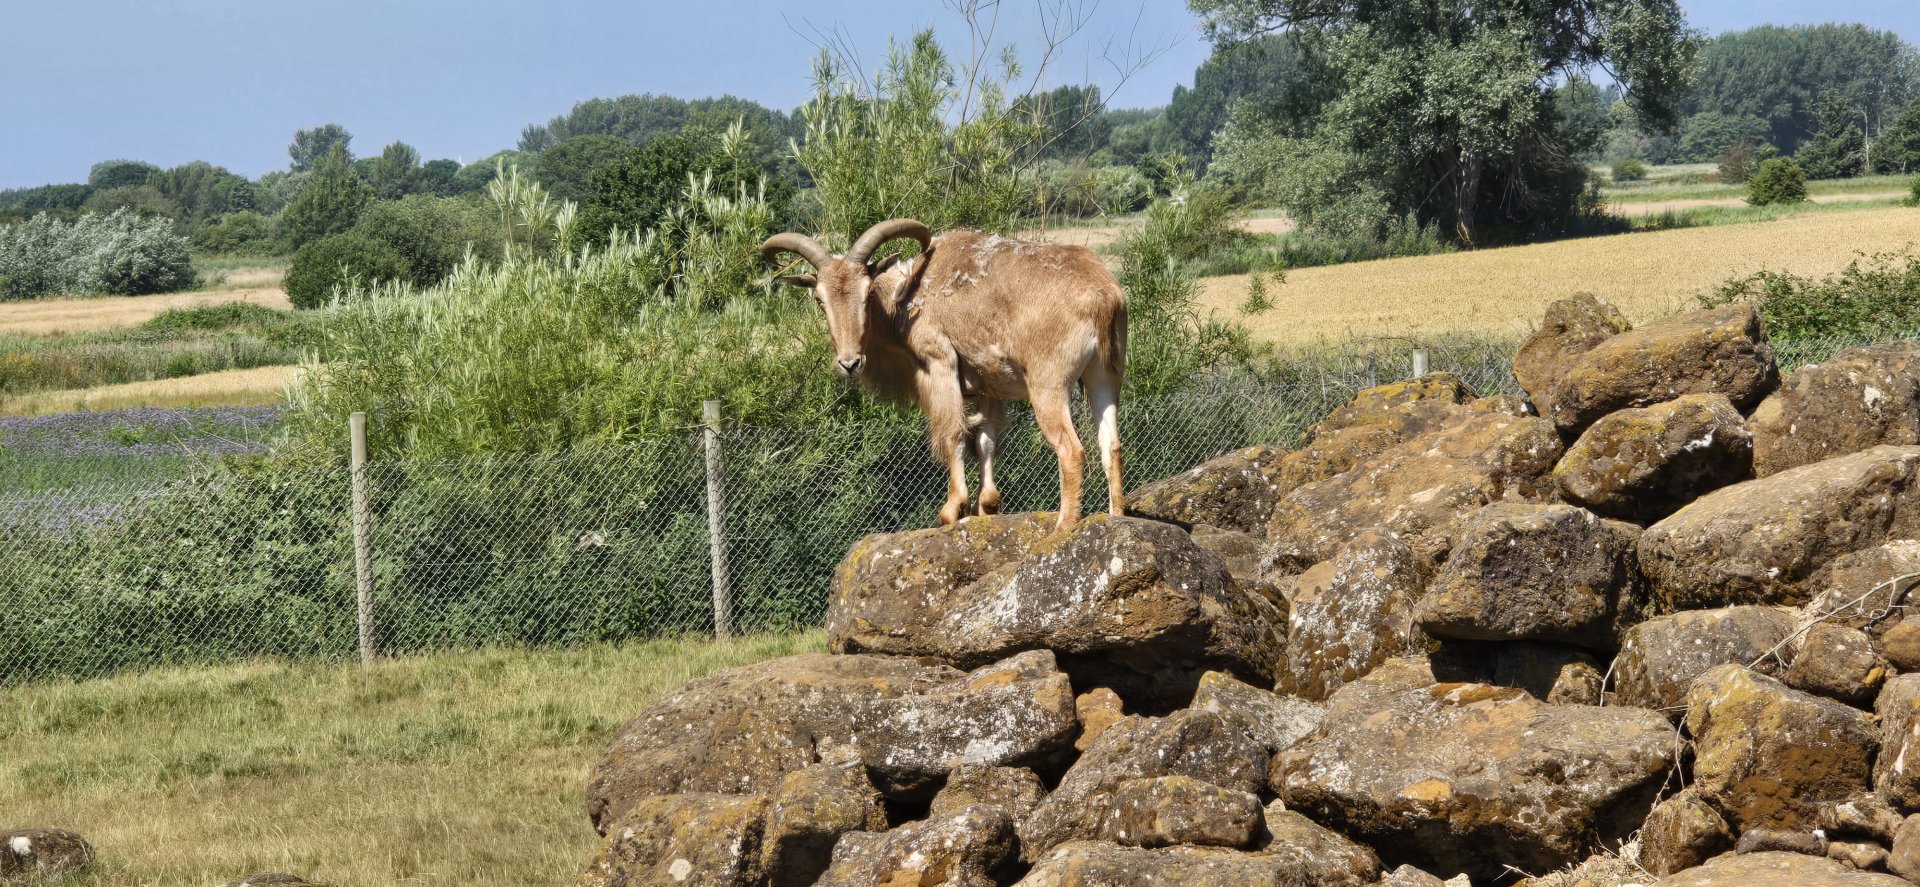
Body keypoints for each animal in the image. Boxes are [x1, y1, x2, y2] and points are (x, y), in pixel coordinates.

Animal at [762, 218, 1127, 533]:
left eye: (867, 294)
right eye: (819, 299)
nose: (849, 363)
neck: (908, 295)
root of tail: (1104, 295)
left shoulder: (939, 365)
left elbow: (954, 434)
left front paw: (952, 510)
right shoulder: (986, 386)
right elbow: (985, 440)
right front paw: (987, 506)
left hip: (1047, 385)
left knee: (1071, 450)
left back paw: (1063, 526)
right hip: (1104, 377)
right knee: (1110, 445)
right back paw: (1116, 516)